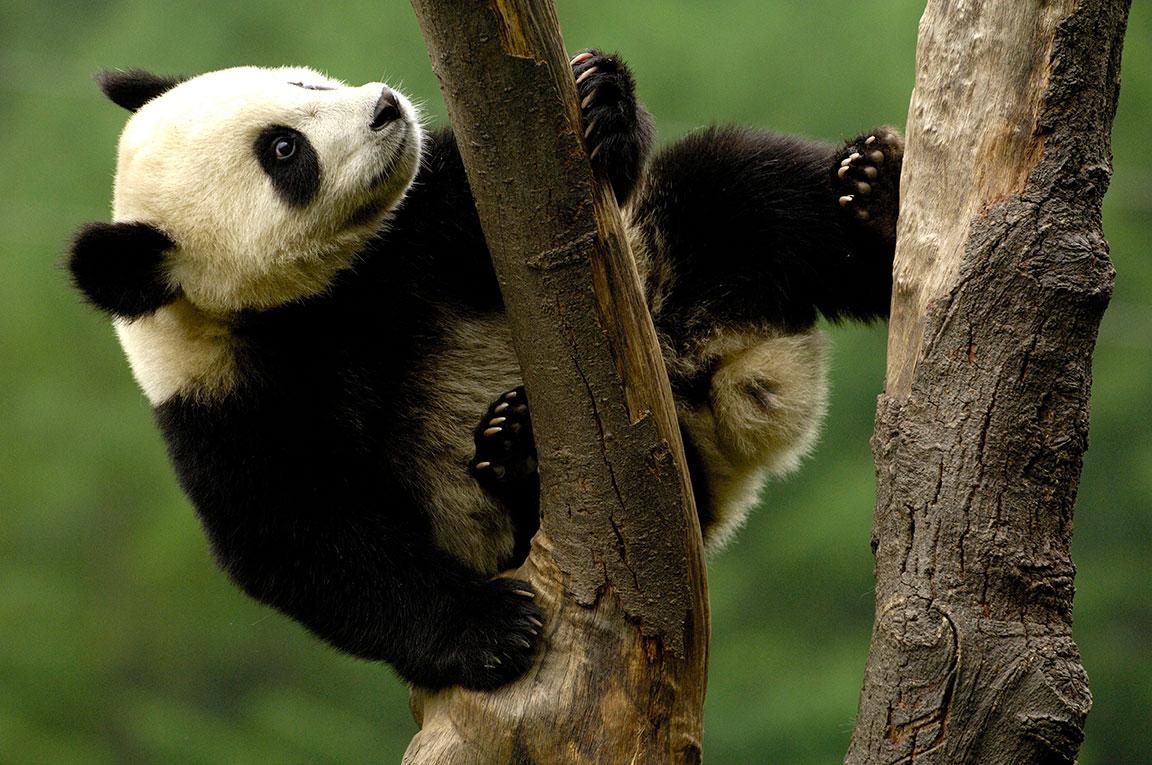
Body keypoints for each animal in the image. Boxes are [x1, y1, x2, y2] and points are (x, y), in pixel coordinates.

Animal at [69, 50, 898, 691]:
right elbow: (299, 538)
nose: (386, 109)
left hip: (664, 258)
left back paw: (877, 201)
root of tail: (727, 387)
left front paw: (599, 99)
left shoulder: (419, 223)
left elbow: (503, 203)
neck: (320, 296)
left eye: (301, 84)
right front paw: (491, 629)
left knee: (743, 189)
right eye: (283, 151)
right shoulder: (231, 397)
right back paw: (518, 450)